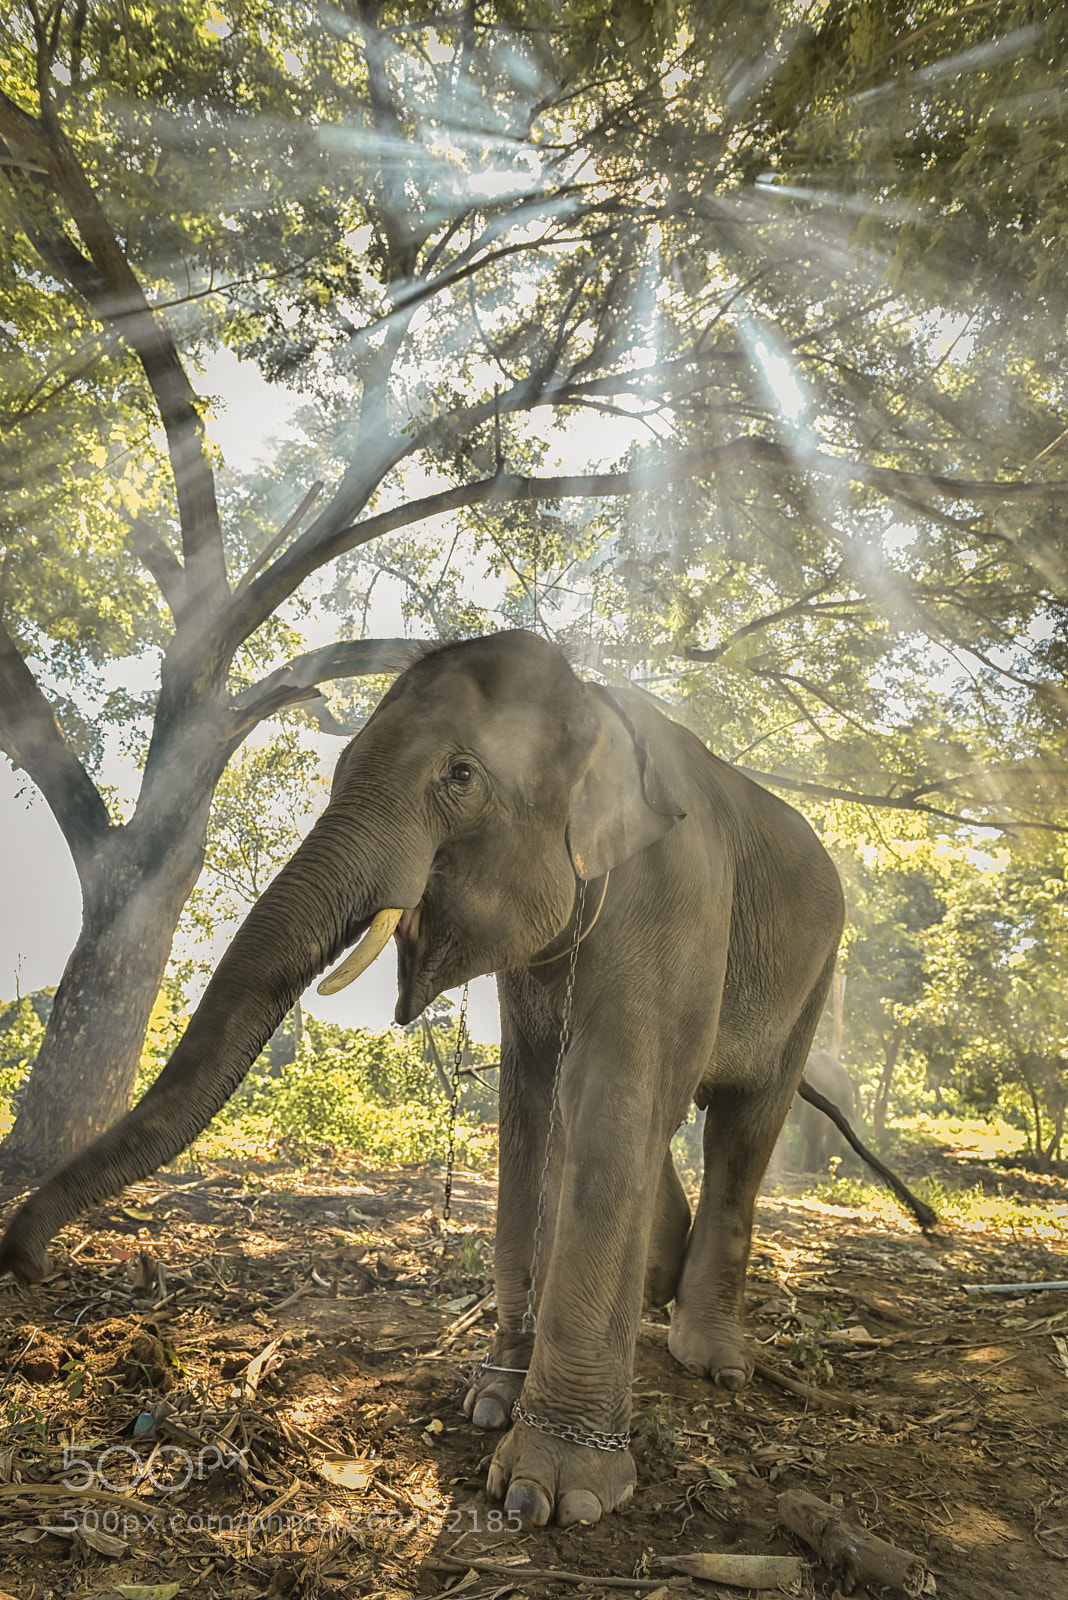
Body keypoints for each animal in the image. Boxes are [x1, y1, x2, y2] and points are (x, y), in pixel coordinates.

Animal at [0, 629, 846, 1529]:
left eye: (461, 776)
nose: (31, 1266)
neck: (597, 706)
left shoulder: (674, 899)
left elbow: (614, 1098)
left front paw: (552, 1492)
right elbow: (532, 1103)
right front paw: (490, 1402)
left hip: (817, 976)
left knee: (743, 1128)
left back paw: (712, 1359)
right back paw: (654, 1299)